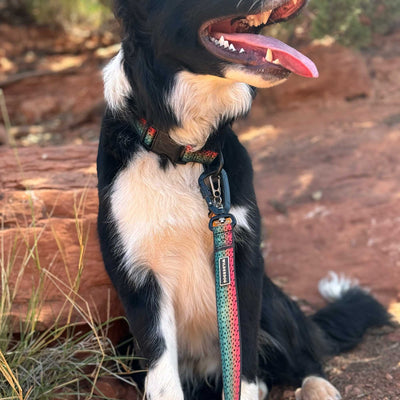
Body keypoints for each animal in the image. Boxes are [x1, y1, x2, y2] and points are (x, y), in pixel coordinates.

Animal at [96, 1, 388, 398]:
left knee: (302, 358)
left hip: (272, 298)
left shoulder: (245, 262)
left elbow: (245, 358)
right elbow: (163, 379)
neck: (185, 152)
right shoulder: (137, 279)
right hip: (123, 342)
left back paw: (317, 386)